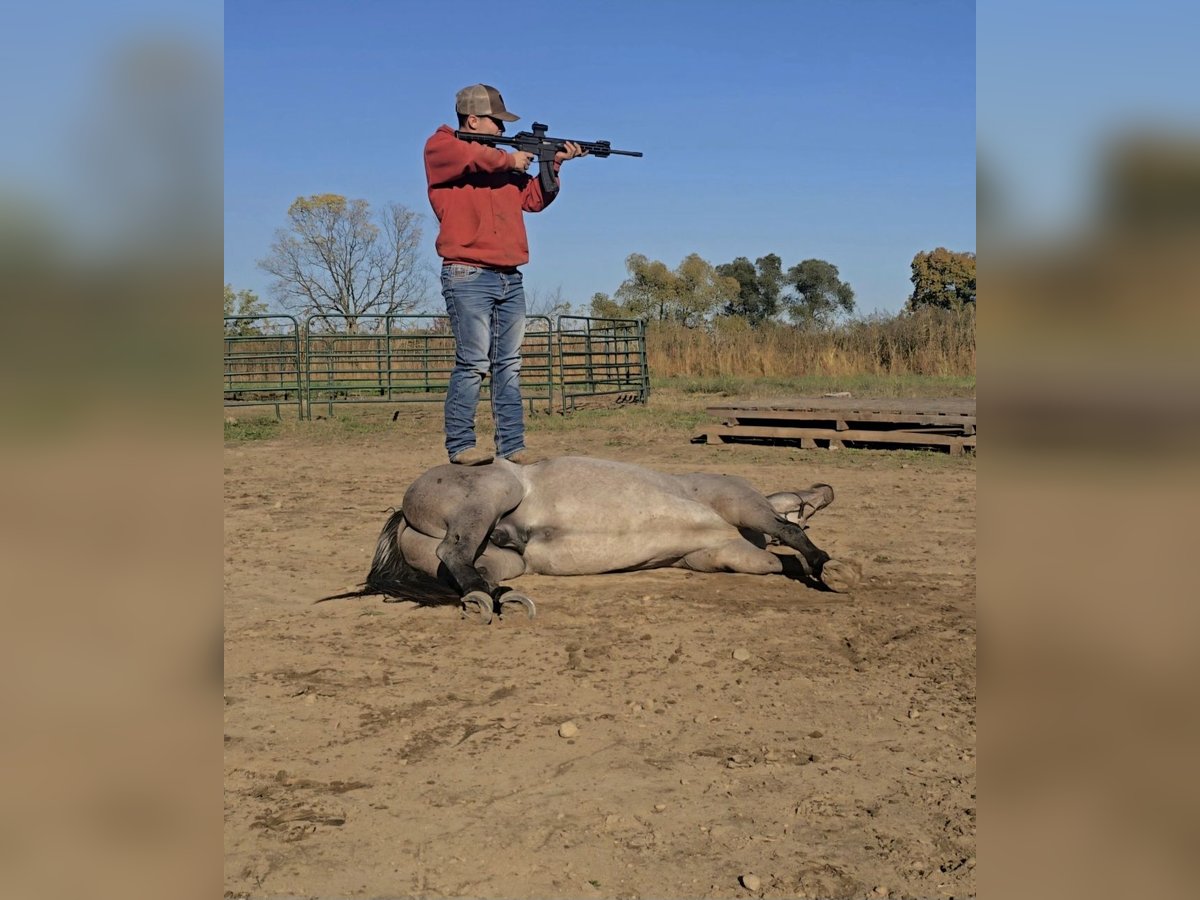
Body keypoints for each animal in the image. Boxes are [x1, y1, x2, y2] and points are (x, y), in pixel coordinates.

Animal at [338, 453, 864, 624]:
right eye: (808, 502)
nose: (827, 489)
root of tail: (403, 512)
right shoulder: (741, 503)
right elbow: (789, 531)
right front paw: (831, 567)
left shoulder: (725, 555)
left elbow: (777, 560)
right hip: (495, 490)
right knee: (454, 549)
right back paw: (490, 603)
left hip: (507, 560)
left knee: (467, 569)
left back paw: (497, 599)